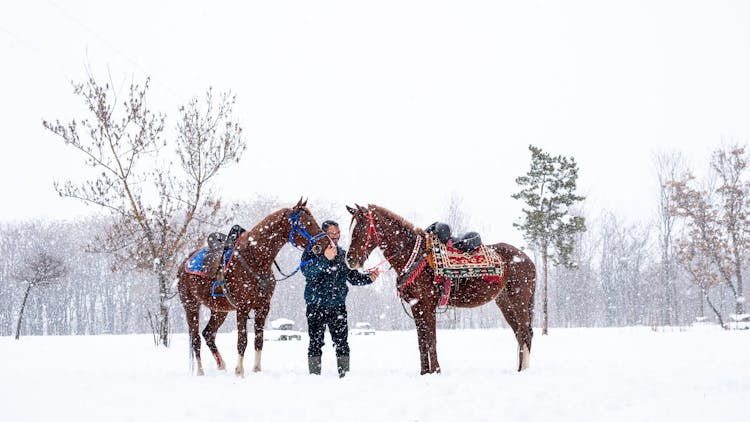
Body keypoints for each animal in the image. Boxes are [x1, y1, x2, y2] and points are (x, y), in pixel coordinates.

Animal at [179, 199, 326, 378]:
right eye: (305, 222)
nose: (326, 243)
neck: (255, 258)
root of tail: (184, 263)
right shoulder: (242, 308)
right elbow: (242, 340)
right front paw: (239, 372)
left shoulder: (263, 307)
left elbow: (259, 340)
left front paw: (256, 370)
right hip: (191, 306)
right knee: (196, 339)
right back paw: (200, 372)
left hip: (219, 310)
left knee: (208, 334)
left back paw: (221, 365)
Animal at [344, 204, 536, 372]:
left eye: (360, 229)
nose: (350, 260)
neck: (416, 255)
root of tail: (528, 260)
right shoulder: (417, 306)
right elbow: (421, 342)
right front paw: (424, 372)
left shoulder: (428, 305)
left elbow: (431, 340)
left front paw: (436, 371)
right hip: (505, 302)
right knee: (520, 333)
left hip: (519, 301)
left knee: (525, 333)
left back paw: (523, 371)